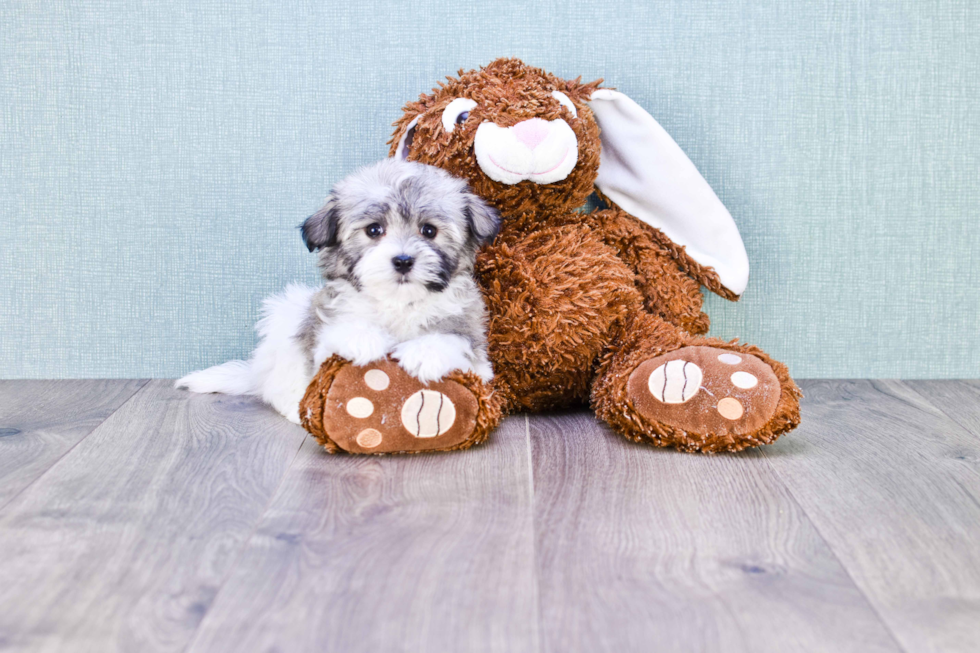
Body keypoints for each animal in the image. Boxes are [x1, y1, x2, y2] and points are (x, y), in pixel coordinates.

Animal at [172, 158, 502, 422]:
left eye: (429, 230)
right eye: (374, 230)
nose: (403, 260)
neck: (398, 302)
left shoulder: (473, 341)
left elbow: (456, 339)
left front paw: (425, 352)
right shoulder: (327, 325)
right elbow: (338, 331)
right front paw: (364, 339)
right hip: (288, 319)